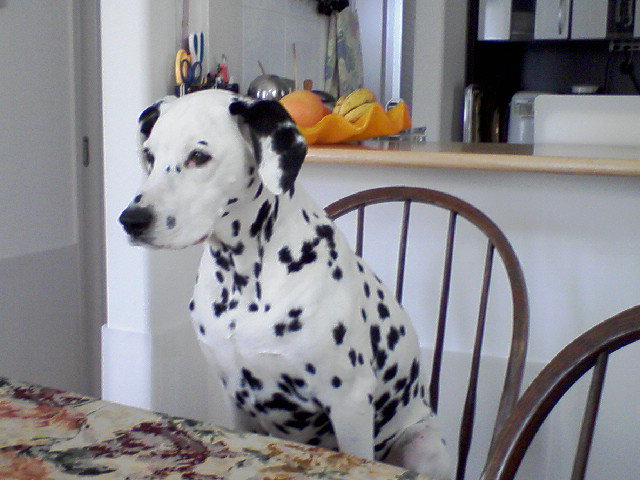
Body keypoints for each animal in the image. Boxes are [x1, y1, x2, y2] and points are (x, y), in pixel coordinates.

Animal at [119, 89, 451, 478]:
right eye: (150, 156)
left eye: (198, 156)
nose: (131, 220)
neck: (243, 283)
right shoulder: (238, 401)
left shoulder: (350, 403)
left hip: (422, 444)